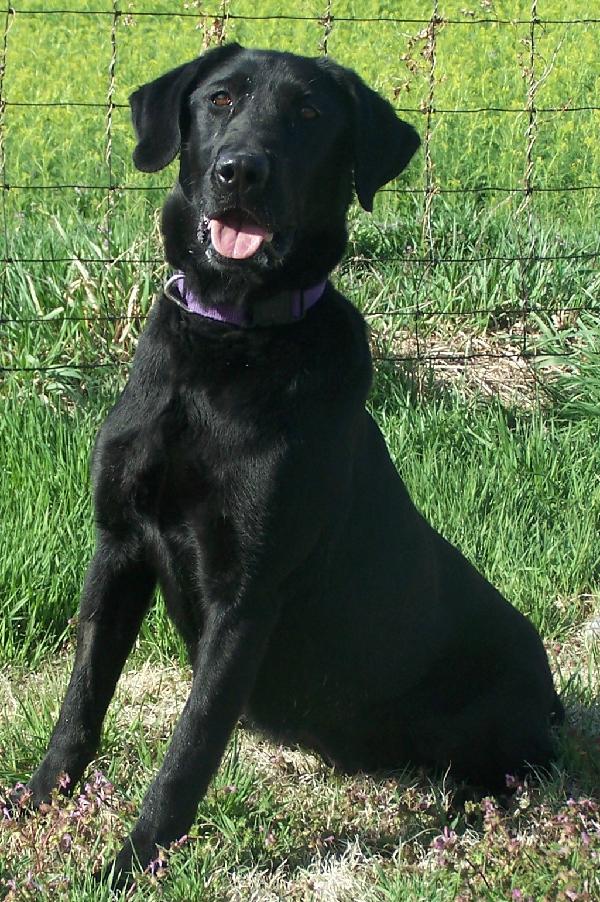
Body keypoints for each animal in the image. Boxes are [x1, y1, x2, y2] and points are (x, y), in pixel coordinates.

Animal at [16, 46, 560, 888]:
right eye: (220, 99)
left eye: (308, 115)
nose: (242, 171)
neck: (228, 344)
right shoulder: (119, 548)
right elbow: (80, 704)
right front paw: (41, 805)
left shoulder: (247, 597)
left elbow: (189, 750)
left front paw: (130, 866)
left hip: (497, 715)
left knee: (512, 773)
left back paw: (475, 812)